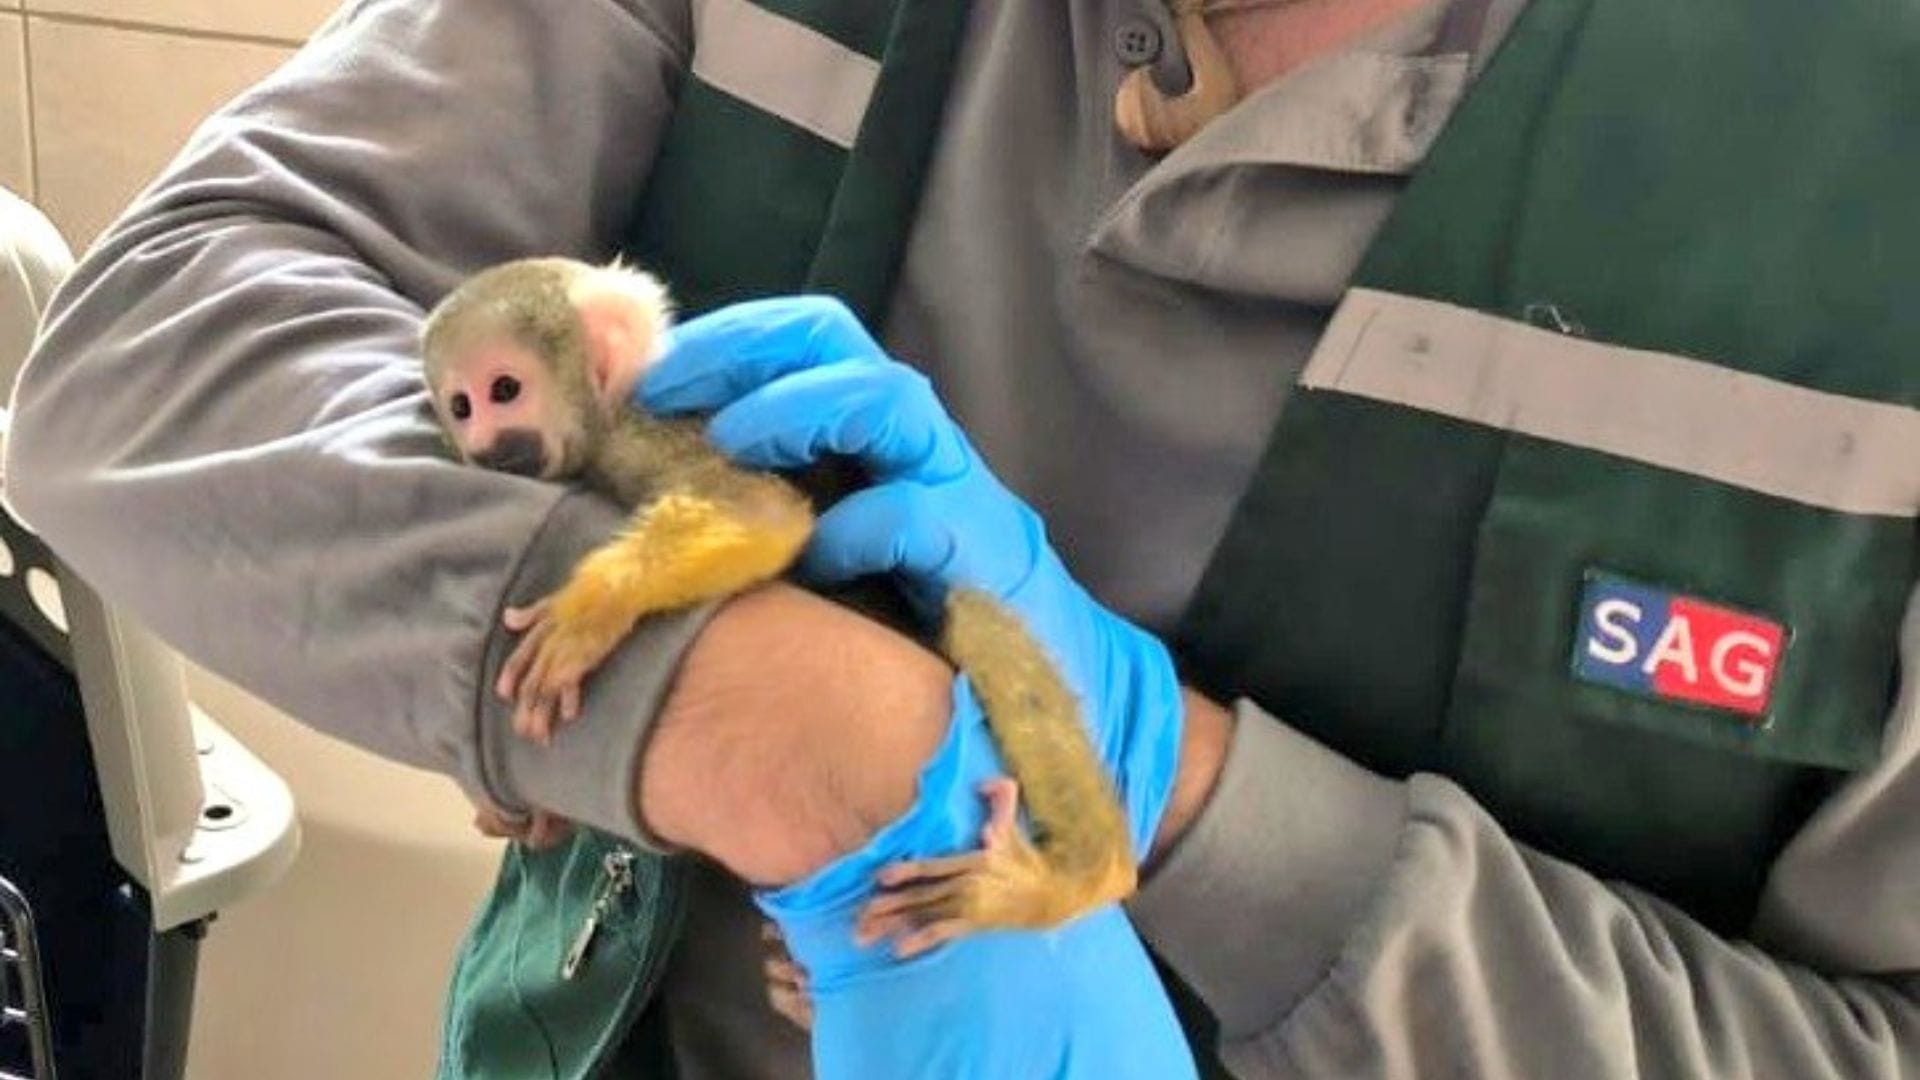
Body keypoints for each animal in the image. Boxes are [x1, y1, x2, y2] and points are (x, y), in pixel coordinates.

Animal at [419, 257, 1138, 947]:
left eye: (503, 390)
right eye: (461, 405)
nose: (485, 446)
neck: (605, 417)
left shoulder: (649, 429)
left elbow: (766, 514)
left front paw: (594, 607)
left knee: (972, 614)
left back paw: (1079, 877)